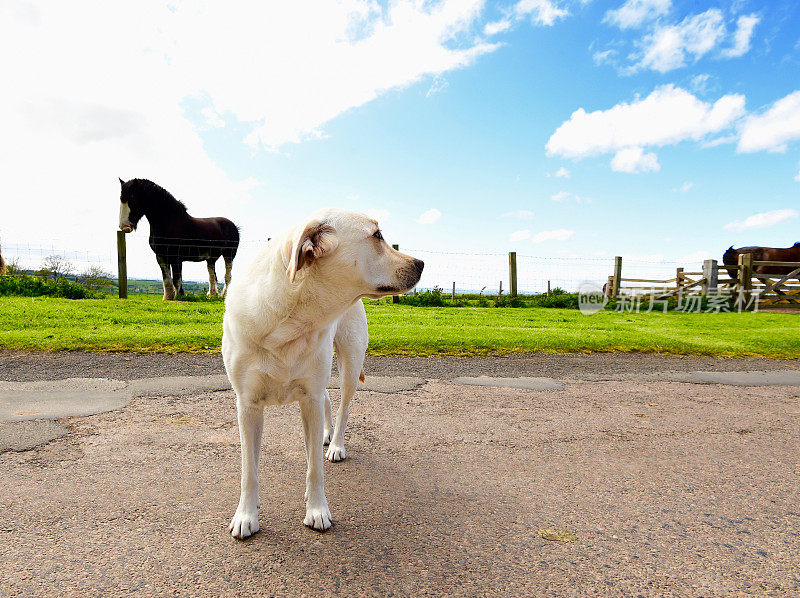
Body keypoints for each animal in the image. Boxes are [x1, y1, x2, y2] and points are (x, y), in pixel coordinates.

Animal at [222, 209, 424, 540]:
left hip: (350, 365)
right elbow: (248, 471)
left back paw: (336, 443)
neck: (292, 319)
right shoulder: (248, 405)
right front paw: (246, 515)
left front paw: (316, 510)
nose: (421, 264)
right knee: (329, 399)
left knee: (342, 408)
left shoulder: (310, 399)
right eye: (377, 236)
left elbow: (314, 466)